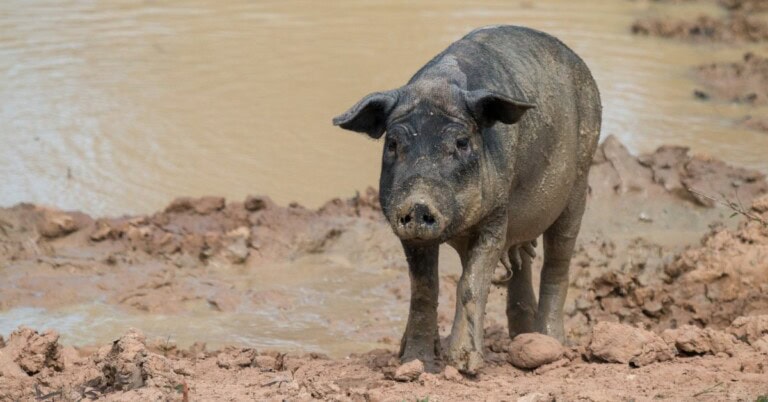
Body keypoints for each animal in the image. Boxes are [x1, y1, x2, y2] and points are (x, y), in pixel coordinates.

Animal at [333, 25, 601, 374]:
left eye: (461, 143)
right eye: (392, 143)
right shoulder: (408, 231)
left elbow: (471, 284)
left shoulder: (496, 216)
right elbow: (424, 289)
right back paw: (521, 336)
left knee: (558, 261)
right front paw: (415, 361)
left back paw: (551, 340)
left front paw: (464, 366)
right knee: (521, 264)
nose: (418, 204)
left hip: (580, 179)